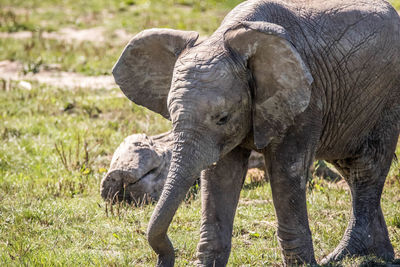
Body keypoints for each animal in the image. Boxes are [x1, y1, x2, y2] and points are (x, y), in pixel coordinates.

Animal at [111, 0, 400, 266]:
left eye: (222, 118)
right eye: (171, 116)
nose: (164, 259)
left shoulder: (305, 101)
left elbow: (287, 171)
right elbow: (220, 176)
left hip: (385, 101)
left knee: (366, 169)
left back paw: (355, 256)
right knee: (349, 169)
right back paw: (372, 255)